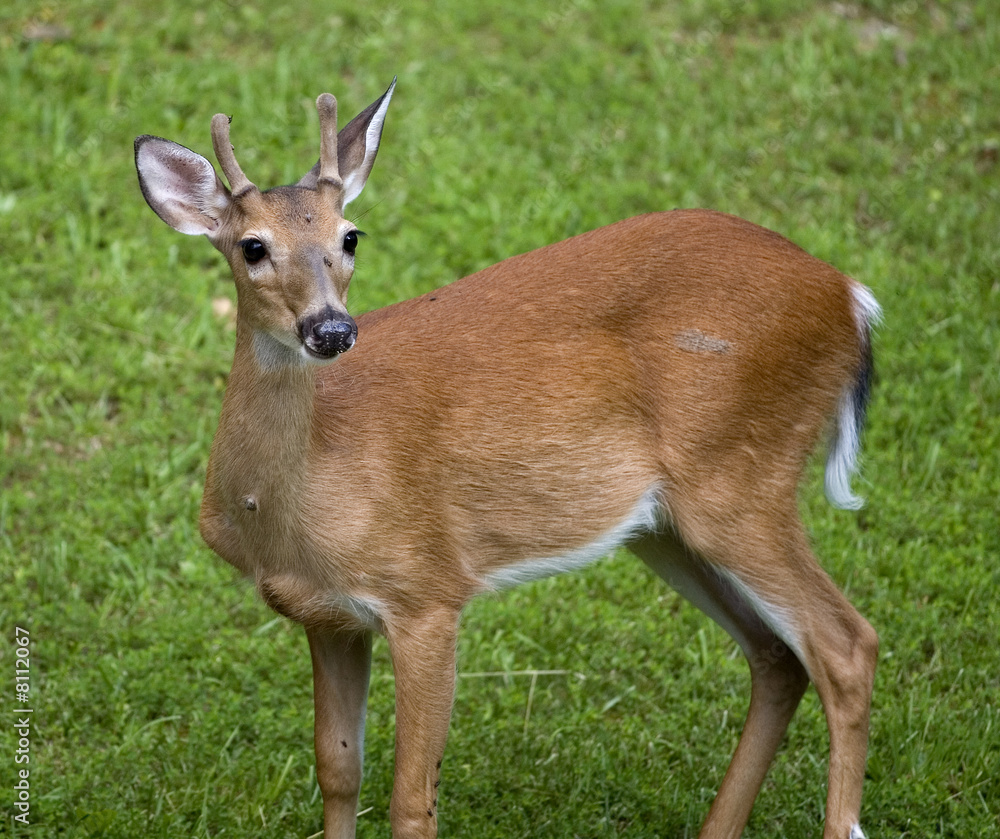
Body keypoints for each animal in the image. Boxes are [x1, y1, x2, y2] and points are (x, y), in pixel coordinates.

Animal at [135, 80, 884, 839]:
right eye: (253, 246)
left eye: (349, 235)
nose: (332, 328)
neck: (297, 500)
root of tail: (851, 297)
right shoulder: (329, 617)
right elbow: (338, 769)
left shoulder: (426, 590)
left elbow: (413, 801)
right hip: (667, 525)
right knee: (777, 656)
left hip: (739, 476)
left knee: (845, 644)